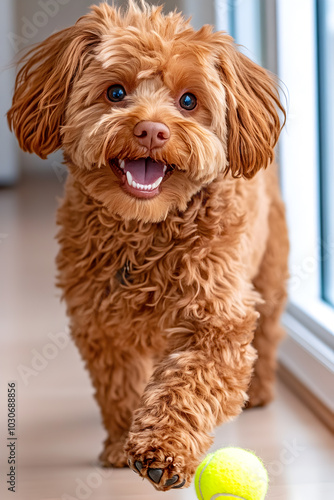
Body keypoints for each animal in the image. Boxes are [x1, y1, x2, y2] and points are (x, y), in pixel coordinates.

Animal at [8, 0, 290, 492]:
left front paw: (163, 449)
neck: (147, 229)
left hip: (269, 271)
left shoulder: (217, 321)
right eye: (115, 92)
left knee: (270, 332)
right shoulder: (101, 321)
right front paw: (121, 444)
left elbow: (190, 382)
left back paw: (261, 391)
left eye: (189, 101)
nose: (152, 131)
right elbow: (119, 385)